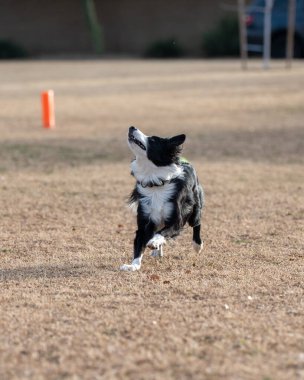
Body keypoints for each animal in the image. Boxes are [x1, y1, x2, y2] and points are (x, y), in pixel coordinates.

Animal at [120, 126, 204, 272]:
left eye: (153, 140)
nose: (132, 127)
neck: (155, 181)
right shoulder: (144, 220)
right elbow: (139, 244)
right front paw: (133, 265)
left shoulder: (176, 221)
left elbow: (163, 232)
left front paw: (154, 241)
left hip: (194, 207)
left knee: (196, 224)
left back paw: (197, 246)